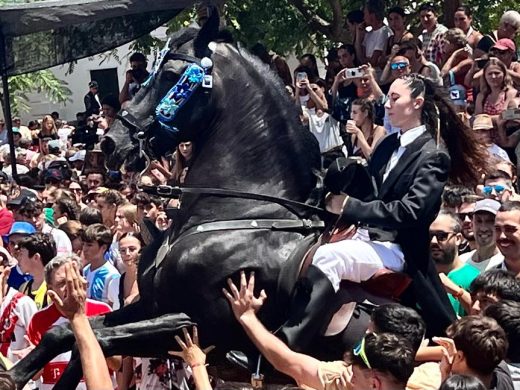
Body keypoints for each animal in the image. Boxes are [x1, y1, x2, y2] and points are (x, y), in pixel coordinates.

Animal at [6, 10, 386, 388]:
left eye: (170, 76)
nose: (112, 143)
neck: (239, 212)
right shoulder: (150, 306)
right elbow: (70, 334)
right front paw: (14, 375)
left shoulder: (198, 324)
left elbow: (97, 339)